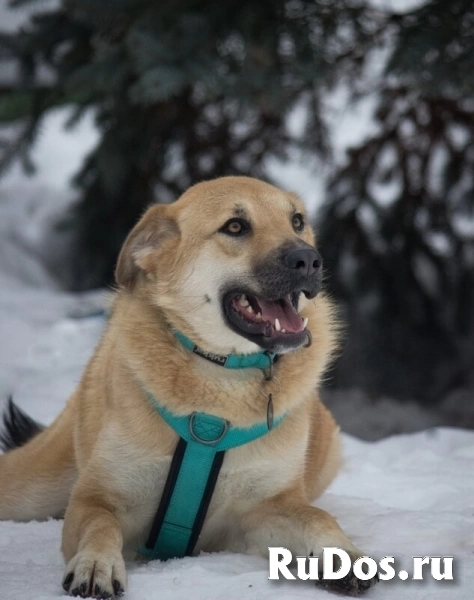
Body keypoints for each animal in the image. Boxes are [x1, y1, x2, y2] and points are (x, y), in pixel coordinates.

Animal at [0, 176, 378, 596]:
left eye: (297, 221)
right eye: (235, 226)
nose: (309, 260)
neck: (220, 383)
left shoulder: (263, 510)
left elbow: (317, 517)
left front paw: (344, 557)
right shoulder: (96, 496)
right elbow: (99, 525)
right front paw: (96, 563)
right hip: (31, 486)